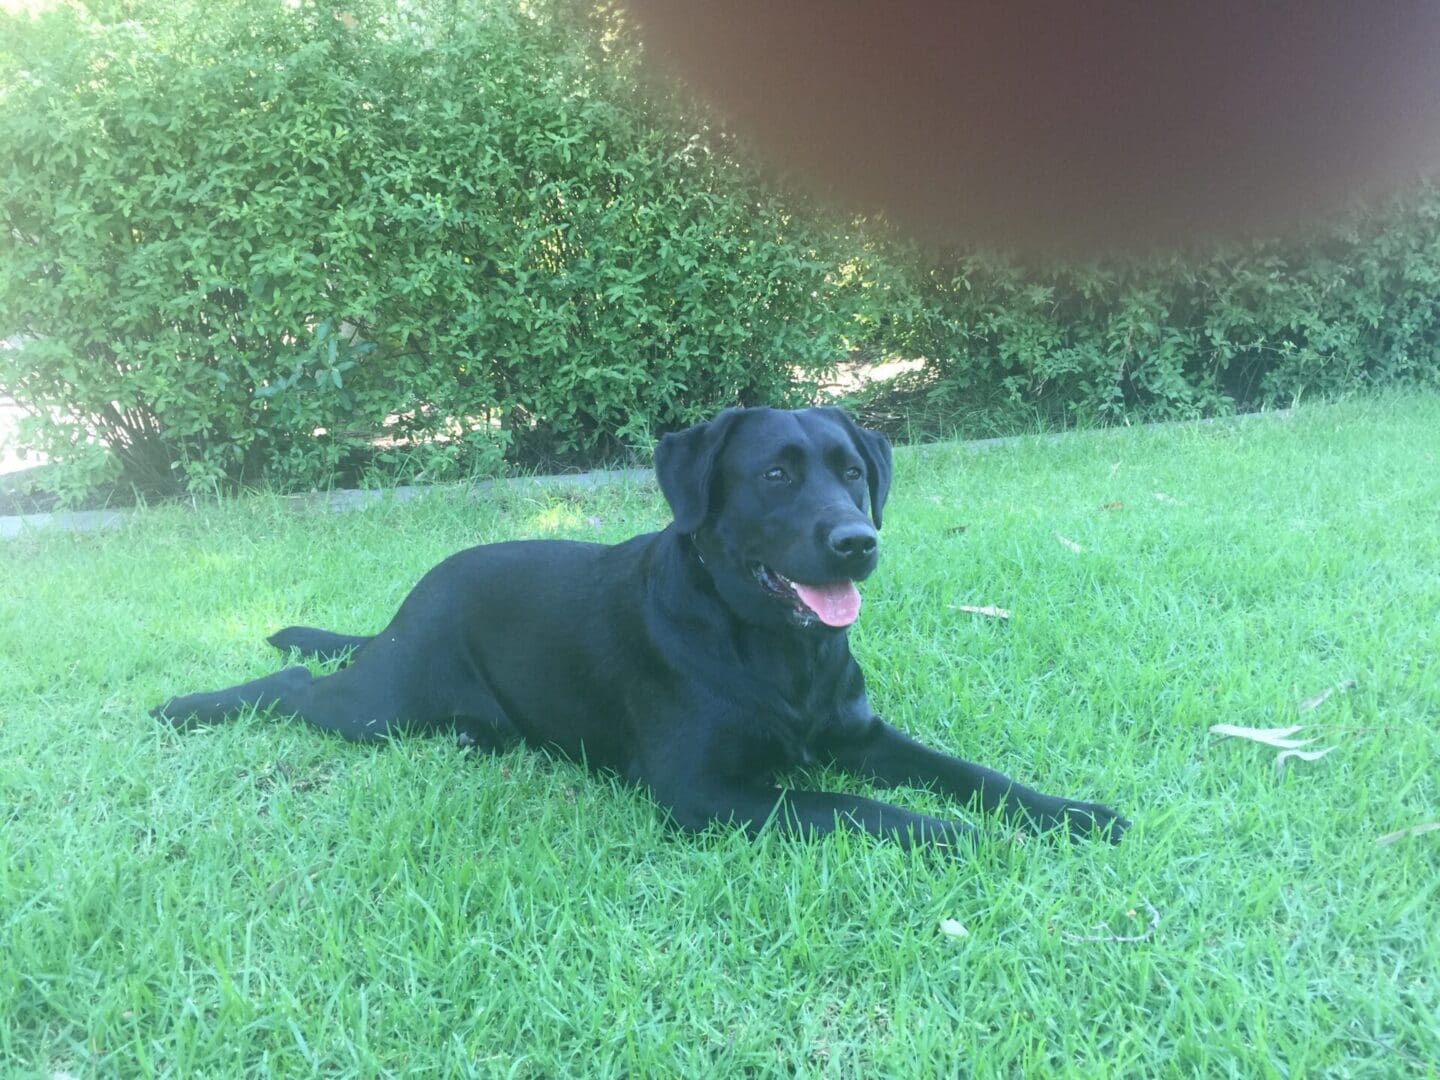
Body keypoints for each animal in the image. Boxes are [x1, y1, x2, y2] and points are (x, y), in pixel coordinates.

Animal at [154, 408, 1123, 852]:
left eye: (853, 472)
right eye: (776, 474)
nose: (858, 541)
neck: (777, 650)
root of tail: (408, 601)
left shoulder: (861, 735)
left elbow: (970, 775)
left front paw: (1069, 814)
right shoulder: (706, 794)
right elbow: (867, 808)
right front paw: (978, 842)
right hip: (379, 706)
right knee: (295, 688)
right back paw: (189, 704)